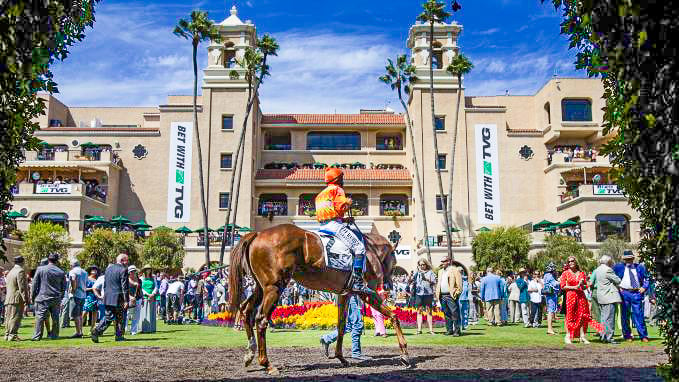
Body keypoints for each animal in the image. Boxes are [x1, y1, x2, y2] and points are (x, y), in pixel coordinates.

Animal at [228, 222, 410, 374]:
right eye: (394, 263)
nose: (389, 286)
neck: (370, 250)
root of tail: (258, 234)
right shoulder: (366, 292)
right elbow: (394, 315)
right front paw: (405, 354)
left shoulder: (345, 293)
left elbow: (341, 324)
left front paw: (340, 357)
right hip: (274, 287)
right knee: (261, 319)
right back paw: (267, 364)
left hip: (260, 287)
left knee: (246, 311)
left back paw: (250, 354)